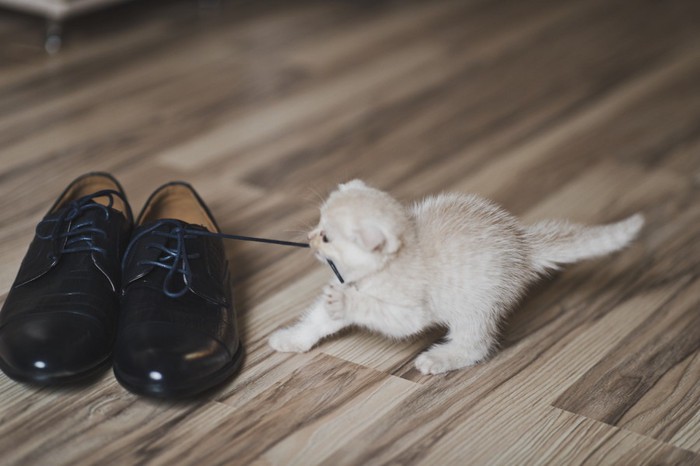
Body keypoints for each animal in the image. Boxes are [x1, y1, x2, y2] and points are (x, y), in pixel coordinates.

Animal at [270, 180, 644, 374]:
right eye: (318, 221)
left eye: (327, 236)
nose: (309, 238)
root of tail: (523, 243)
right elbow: (318, 320)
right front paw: (293, 339)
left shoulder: (410, 309)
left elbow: (386, 315)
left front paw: (349, 301)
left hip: (475, 306)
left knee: (476, 345)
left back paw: (440, 358)